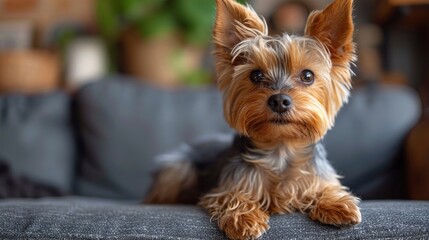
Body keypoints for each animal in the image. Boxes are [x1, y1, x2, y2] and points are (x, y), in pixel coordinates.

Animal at [145, 0, 360, 238]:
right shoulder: (225, 187)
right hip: (178, 168)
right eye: (255, 75)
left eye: (307, 75)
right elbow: (233, 196)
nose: (279, 101)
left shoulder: (321, 176)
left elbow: (326, 187)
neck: (280, 149)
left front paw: (337, 204)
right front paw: (244, 218)